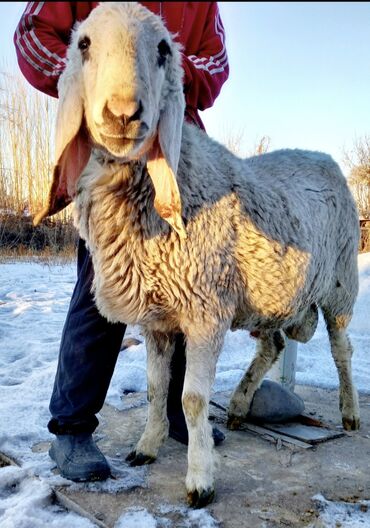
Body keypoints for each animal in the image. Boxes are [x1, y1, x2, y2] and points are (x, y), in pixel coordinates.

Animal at [33, 2, 360, 510]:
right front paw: (147, 447)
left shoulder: (206, 312)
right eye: (83, 44)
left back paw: (348, 413)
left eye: (164, 50)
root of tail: (321, 155)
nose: (123, 114)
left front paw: (200, 479)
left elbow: (190, 399)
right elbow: (155, 388)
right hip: (268, 296)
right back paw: (242, 406)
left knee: (342, 350)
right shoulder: (158, 318)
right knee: (273, 345)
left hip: (340, 284)